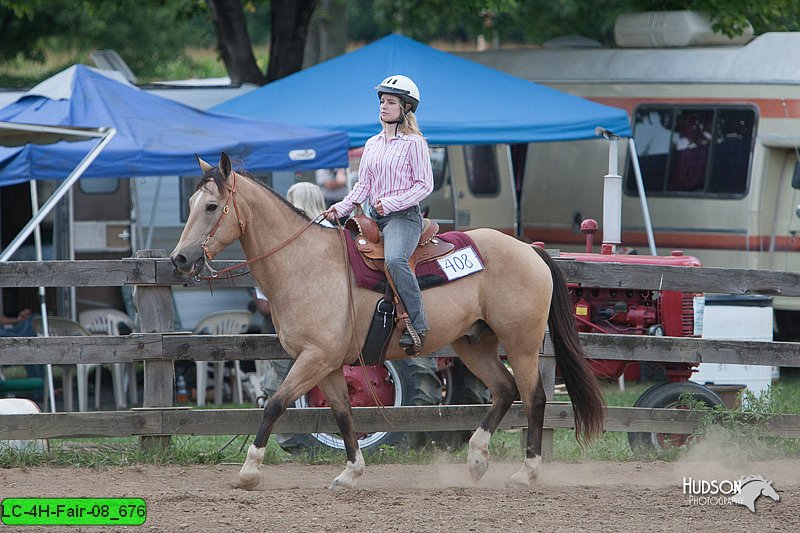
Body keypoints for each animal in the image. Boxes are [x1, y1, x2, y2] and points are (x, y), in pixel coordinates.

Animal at [170, 152, 608, 488]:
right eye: (190, 204)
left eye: (211, 206)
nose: (180, 259)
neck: (305, 264)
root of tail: (530, 250)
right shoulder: (329, 364)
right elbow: (344, 415)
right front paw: (350, 473)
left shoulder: (314, 358)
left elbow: (275, 405)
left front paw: (248, 471)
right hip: (474, 343)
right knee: (504, 389)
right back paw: (477, 460)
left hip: (522, 344)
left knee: (534, 397)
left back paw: (526, 473)